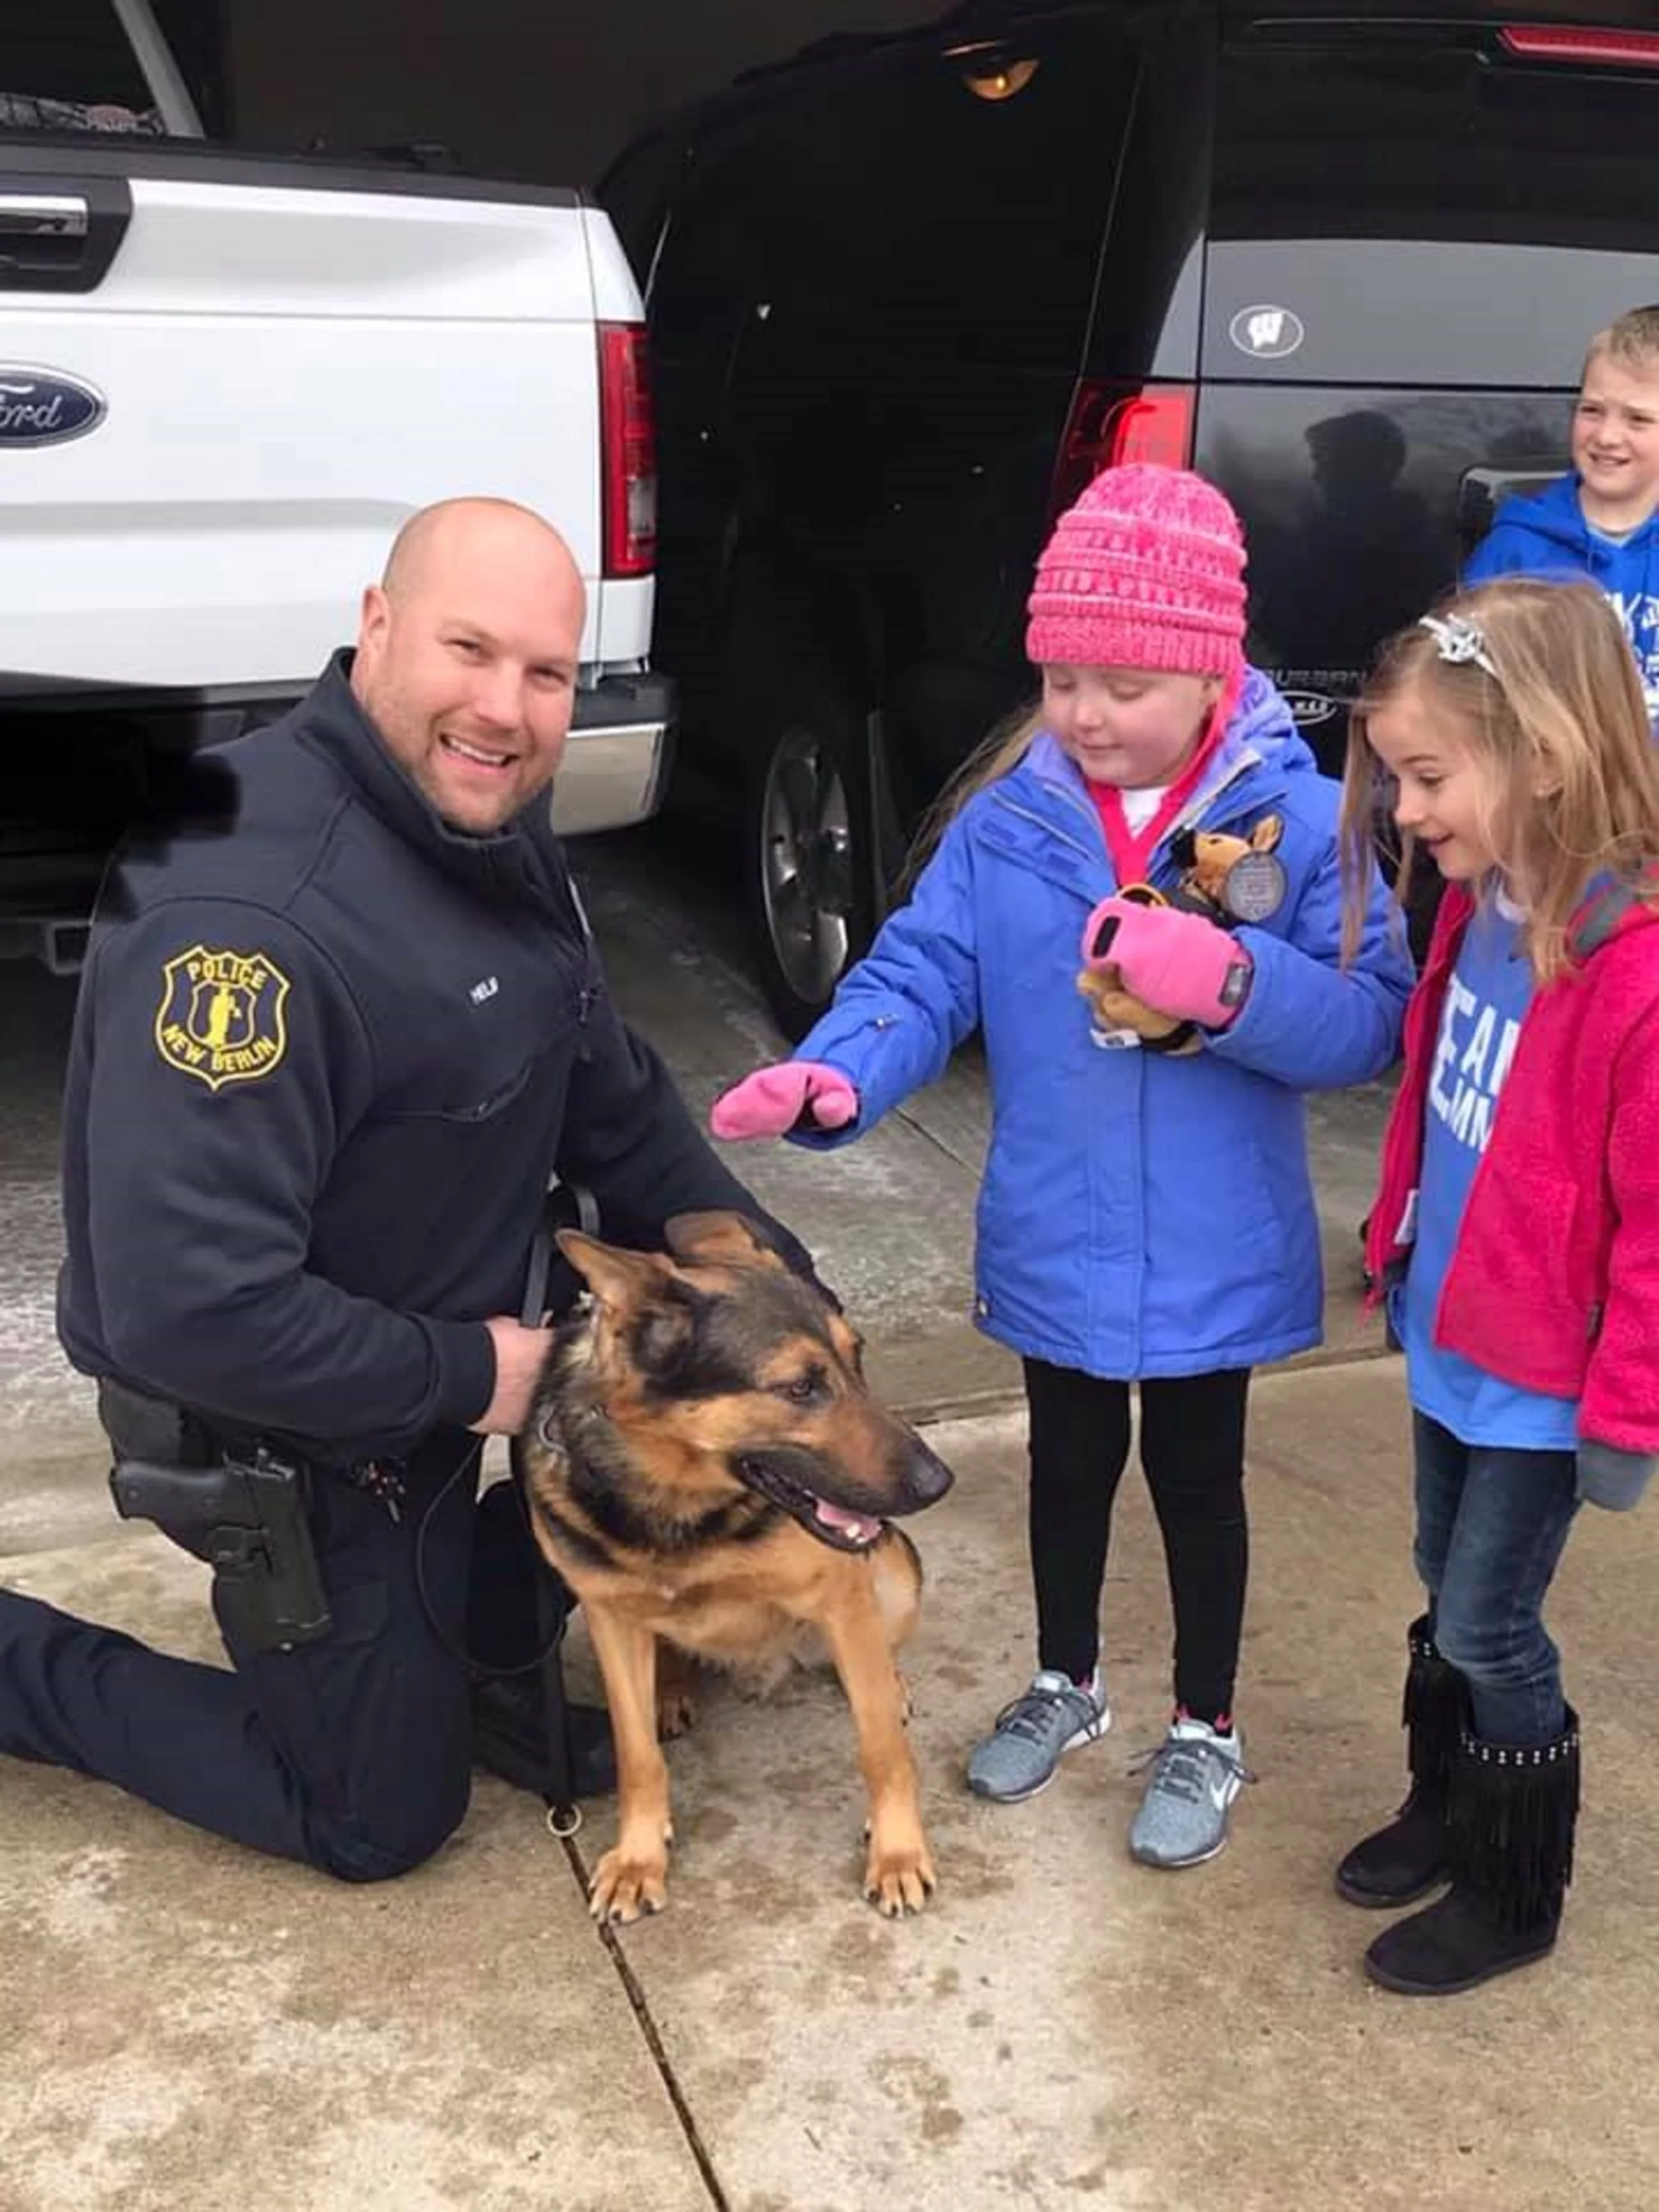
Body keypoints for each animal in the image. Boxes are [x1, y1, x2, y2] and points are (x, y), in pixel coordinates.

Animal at [519, 1212, 960, 1920]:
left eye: (857, 1357)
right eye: (800, 1387)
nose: (937, 1481)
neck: (679, 1502)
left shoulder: (842, 1596)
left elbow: (881, 1748)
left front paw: (896, 1853)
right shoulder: (611, 1616)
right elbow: (637, 1756)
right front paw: (639, 1858)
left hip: (893, 1575)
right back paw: (670, 1687)